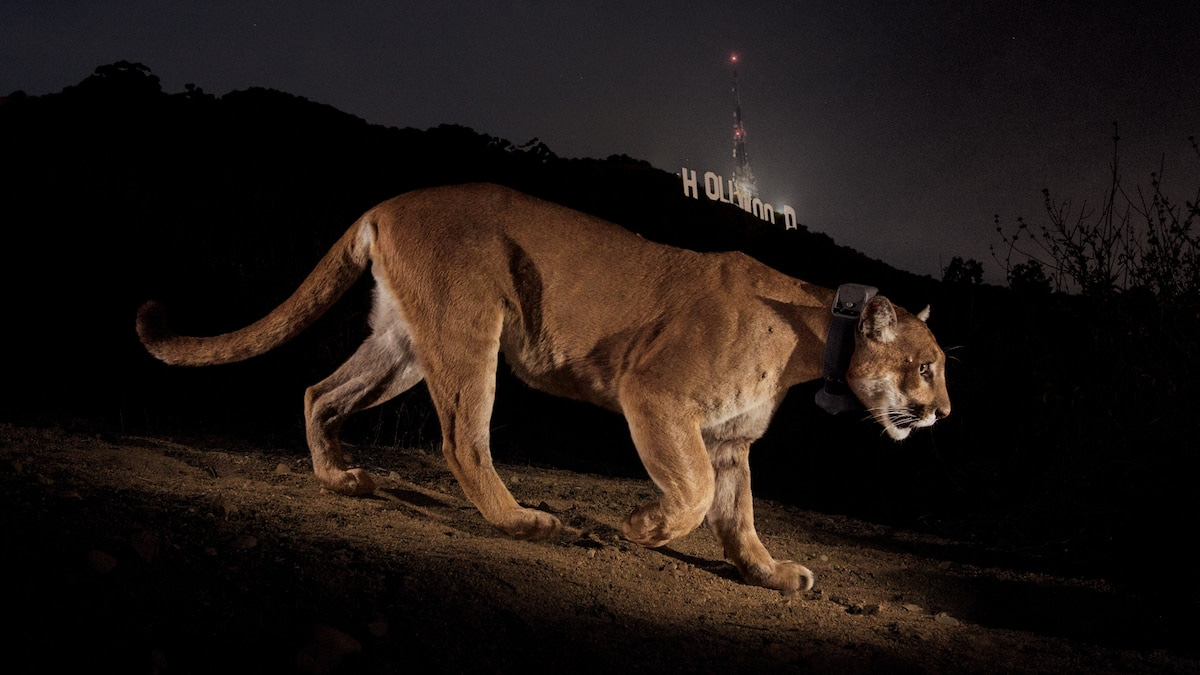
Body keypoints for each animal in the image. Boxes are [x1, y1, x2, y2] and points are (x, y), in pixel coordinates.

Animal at [137, 183, 950, 593]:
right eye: (927, 366)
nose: (943, 411)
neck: (813, 337)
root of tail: (390, 202)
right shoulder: (655, 395)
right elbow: (690, 495)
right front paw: (641, 526)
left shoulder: (729, 438)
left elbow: (738, 517)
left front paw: (772, 573)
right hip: (470, 327)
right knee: (462, 439)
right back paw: (527, 522)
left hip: (403, 344)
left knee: (318, 392)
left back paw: (340, 478)